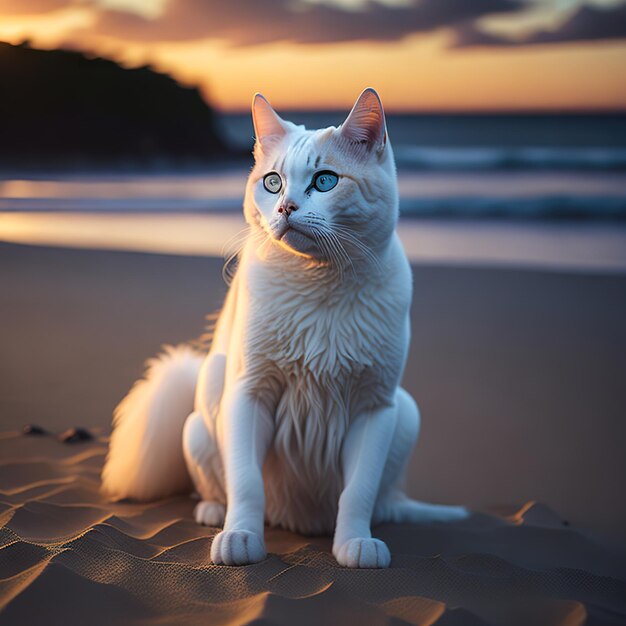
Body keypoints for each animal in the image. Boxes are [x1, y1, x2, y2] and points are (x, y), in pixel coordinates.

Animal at [101, 88, 464, 564]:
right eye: (272, 182)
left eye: (325, 181)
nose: (285, 207)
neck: (319, 284)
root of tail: (301, 522)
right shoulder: (250, 393)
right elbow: (246, 483)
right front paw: (240, 538)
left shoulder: (374, 407)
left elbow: (359, 491)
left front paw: (355, 544)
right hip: (205, 405)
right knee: (216, 486)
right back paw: (214, 513)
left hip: (405, 411)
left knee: (382, 498)